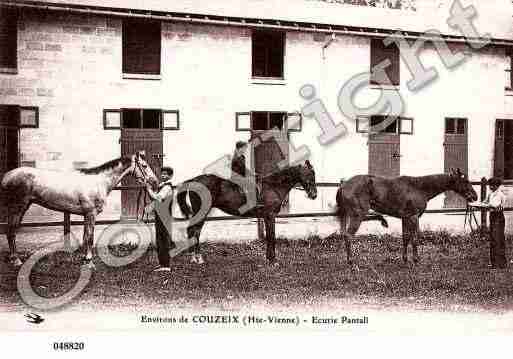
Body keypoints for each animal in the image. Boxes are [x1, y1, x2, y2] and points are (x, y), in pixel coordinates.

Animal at [1, 150, 157, 268]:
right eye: (144, 166)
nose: (154, 182)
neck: (99, 181)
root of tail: (7, 176)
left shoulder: (85, 215)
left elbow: (85, 236)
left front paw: (84, 259)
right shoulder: (91, 213)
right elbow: (90, 237)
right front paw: (89, 261)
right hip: (17, 207)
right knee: (11, 231)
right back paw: (16, 260)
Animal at [178, 162, 318, 266]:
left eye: (314, 175)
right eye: (309, 174)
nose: (314, 195)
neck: (273, 186)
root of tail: (194, 180)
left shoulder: (267, 217)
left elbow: (269, 236)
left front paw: (269, 258)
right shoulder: (270, 216)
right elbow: (271, 237)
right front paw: (273, 260)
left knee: (194, 231)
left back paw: (194, 258)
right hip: (201, 212)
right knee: (194, 231)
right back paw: (197, 258)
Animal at [336, 169, 476, 268]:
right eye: (465, 181)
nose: (475, 196)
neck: (419, 187)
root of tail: (343, 185)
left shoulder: (405, 217)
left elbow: (405, 238)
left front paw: (405, 260)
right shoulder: (414, 217)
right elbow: (414, 238)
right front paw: (416, 260)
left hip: (356, 214)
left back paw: (382, 220)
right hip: (358, 214)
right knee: (348, 235)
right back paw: (352, 263)